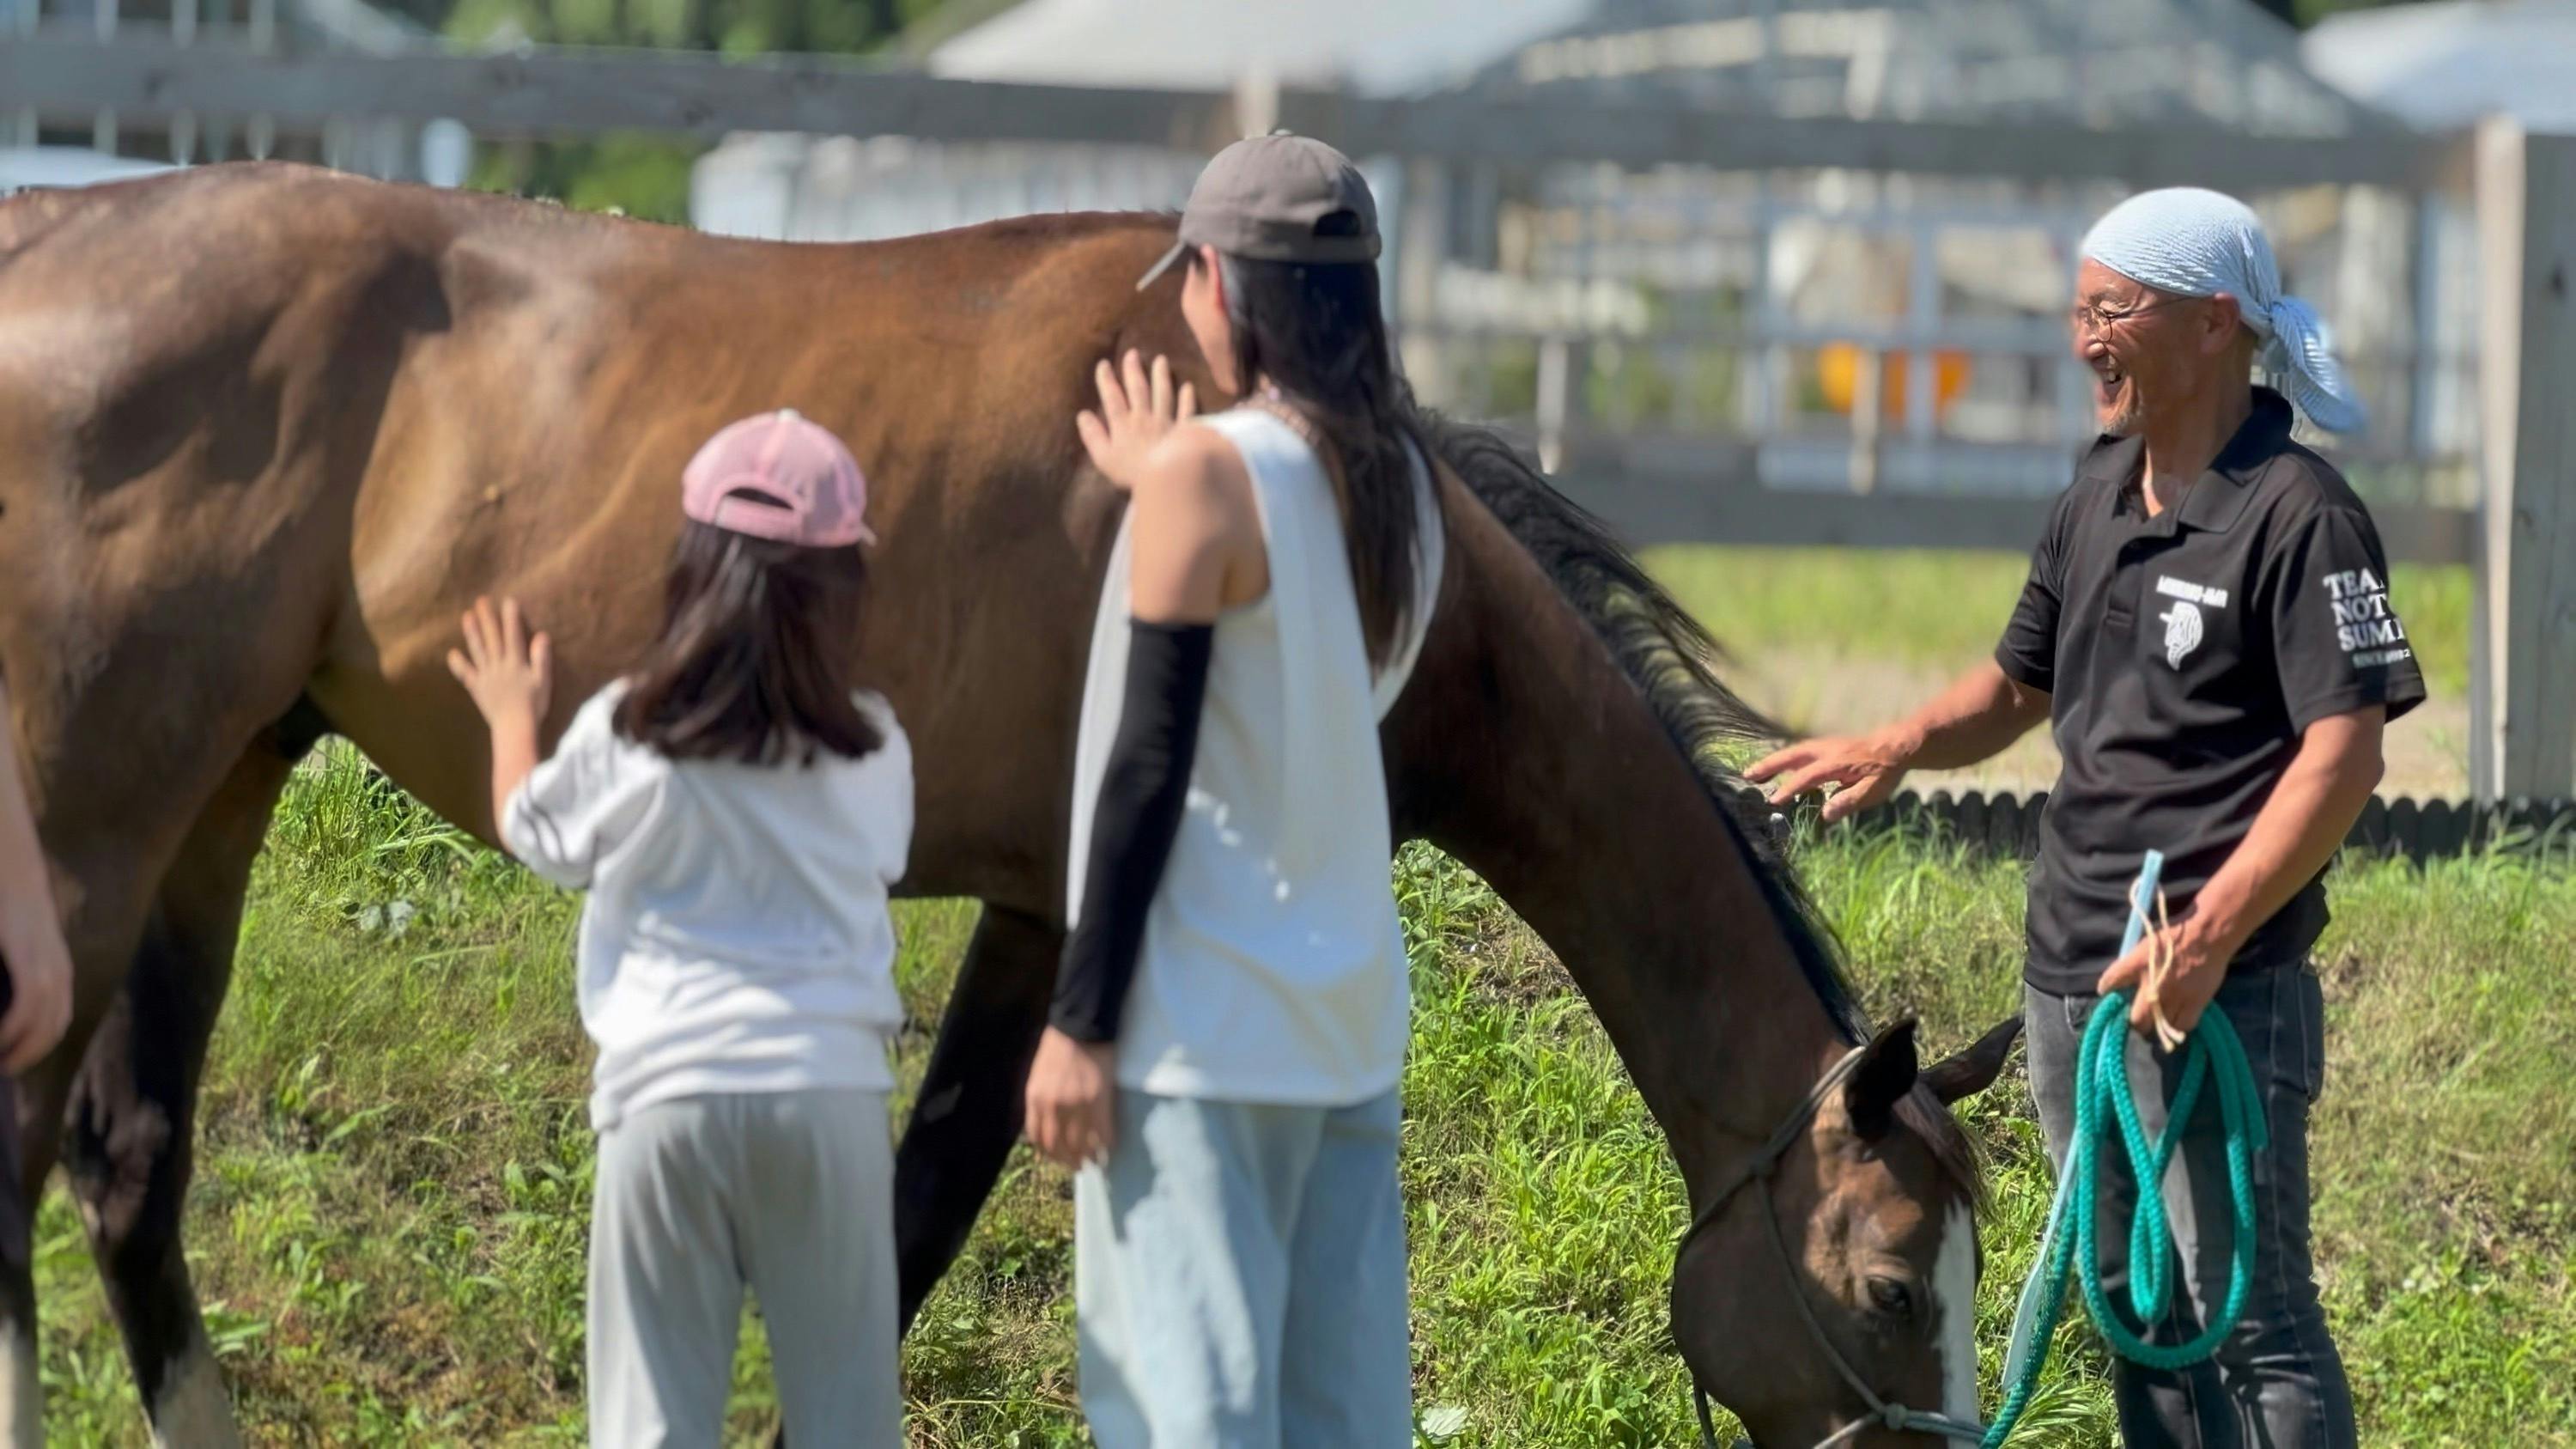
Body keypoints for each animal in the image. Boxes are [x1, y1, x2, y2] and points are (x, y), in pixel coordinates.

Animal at [0, 160, 2009, 1443]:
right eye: (1898, 1291)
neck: (1312, 495)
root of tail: (43, 234)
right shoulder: (1075, 907)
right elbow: (933, 1209)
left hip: (220, 791)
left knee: (129, 1166)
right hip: (95, 829)